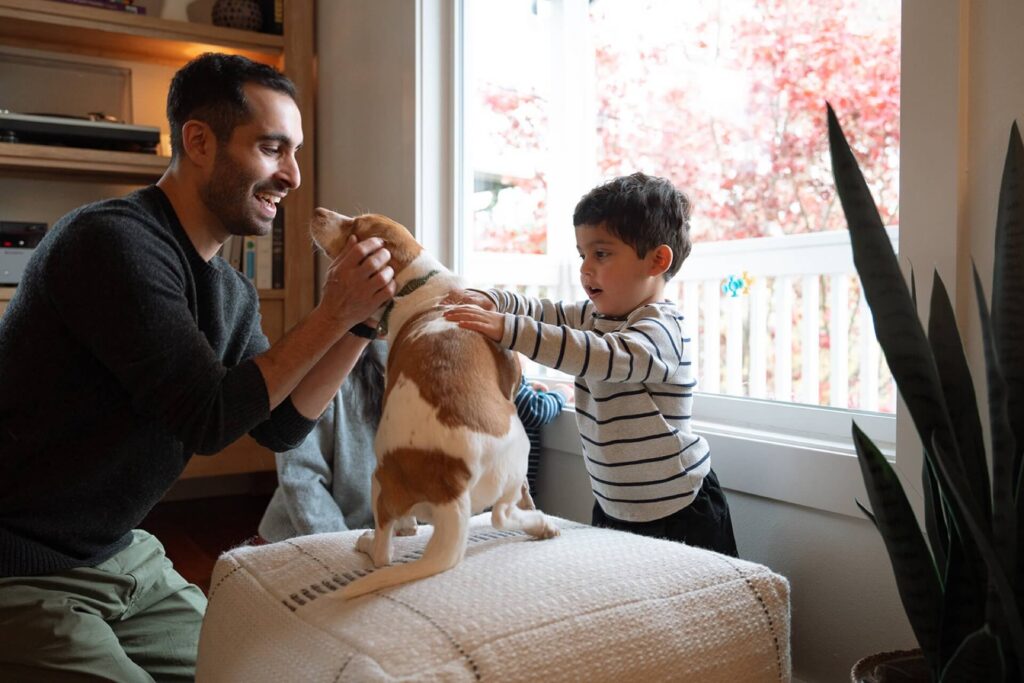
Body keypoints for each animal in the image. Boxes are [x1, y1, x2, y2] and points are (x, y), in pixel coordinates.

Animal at [311, 208, 561, 598]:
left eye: (355, 225)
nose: (318, 212)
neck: (422, 285)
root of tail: (449, 481)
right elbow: (525, 493)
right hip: (513, 452)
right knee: (500, 514)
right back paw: (539, 524)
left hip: (381, 479)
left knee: (389, 545)